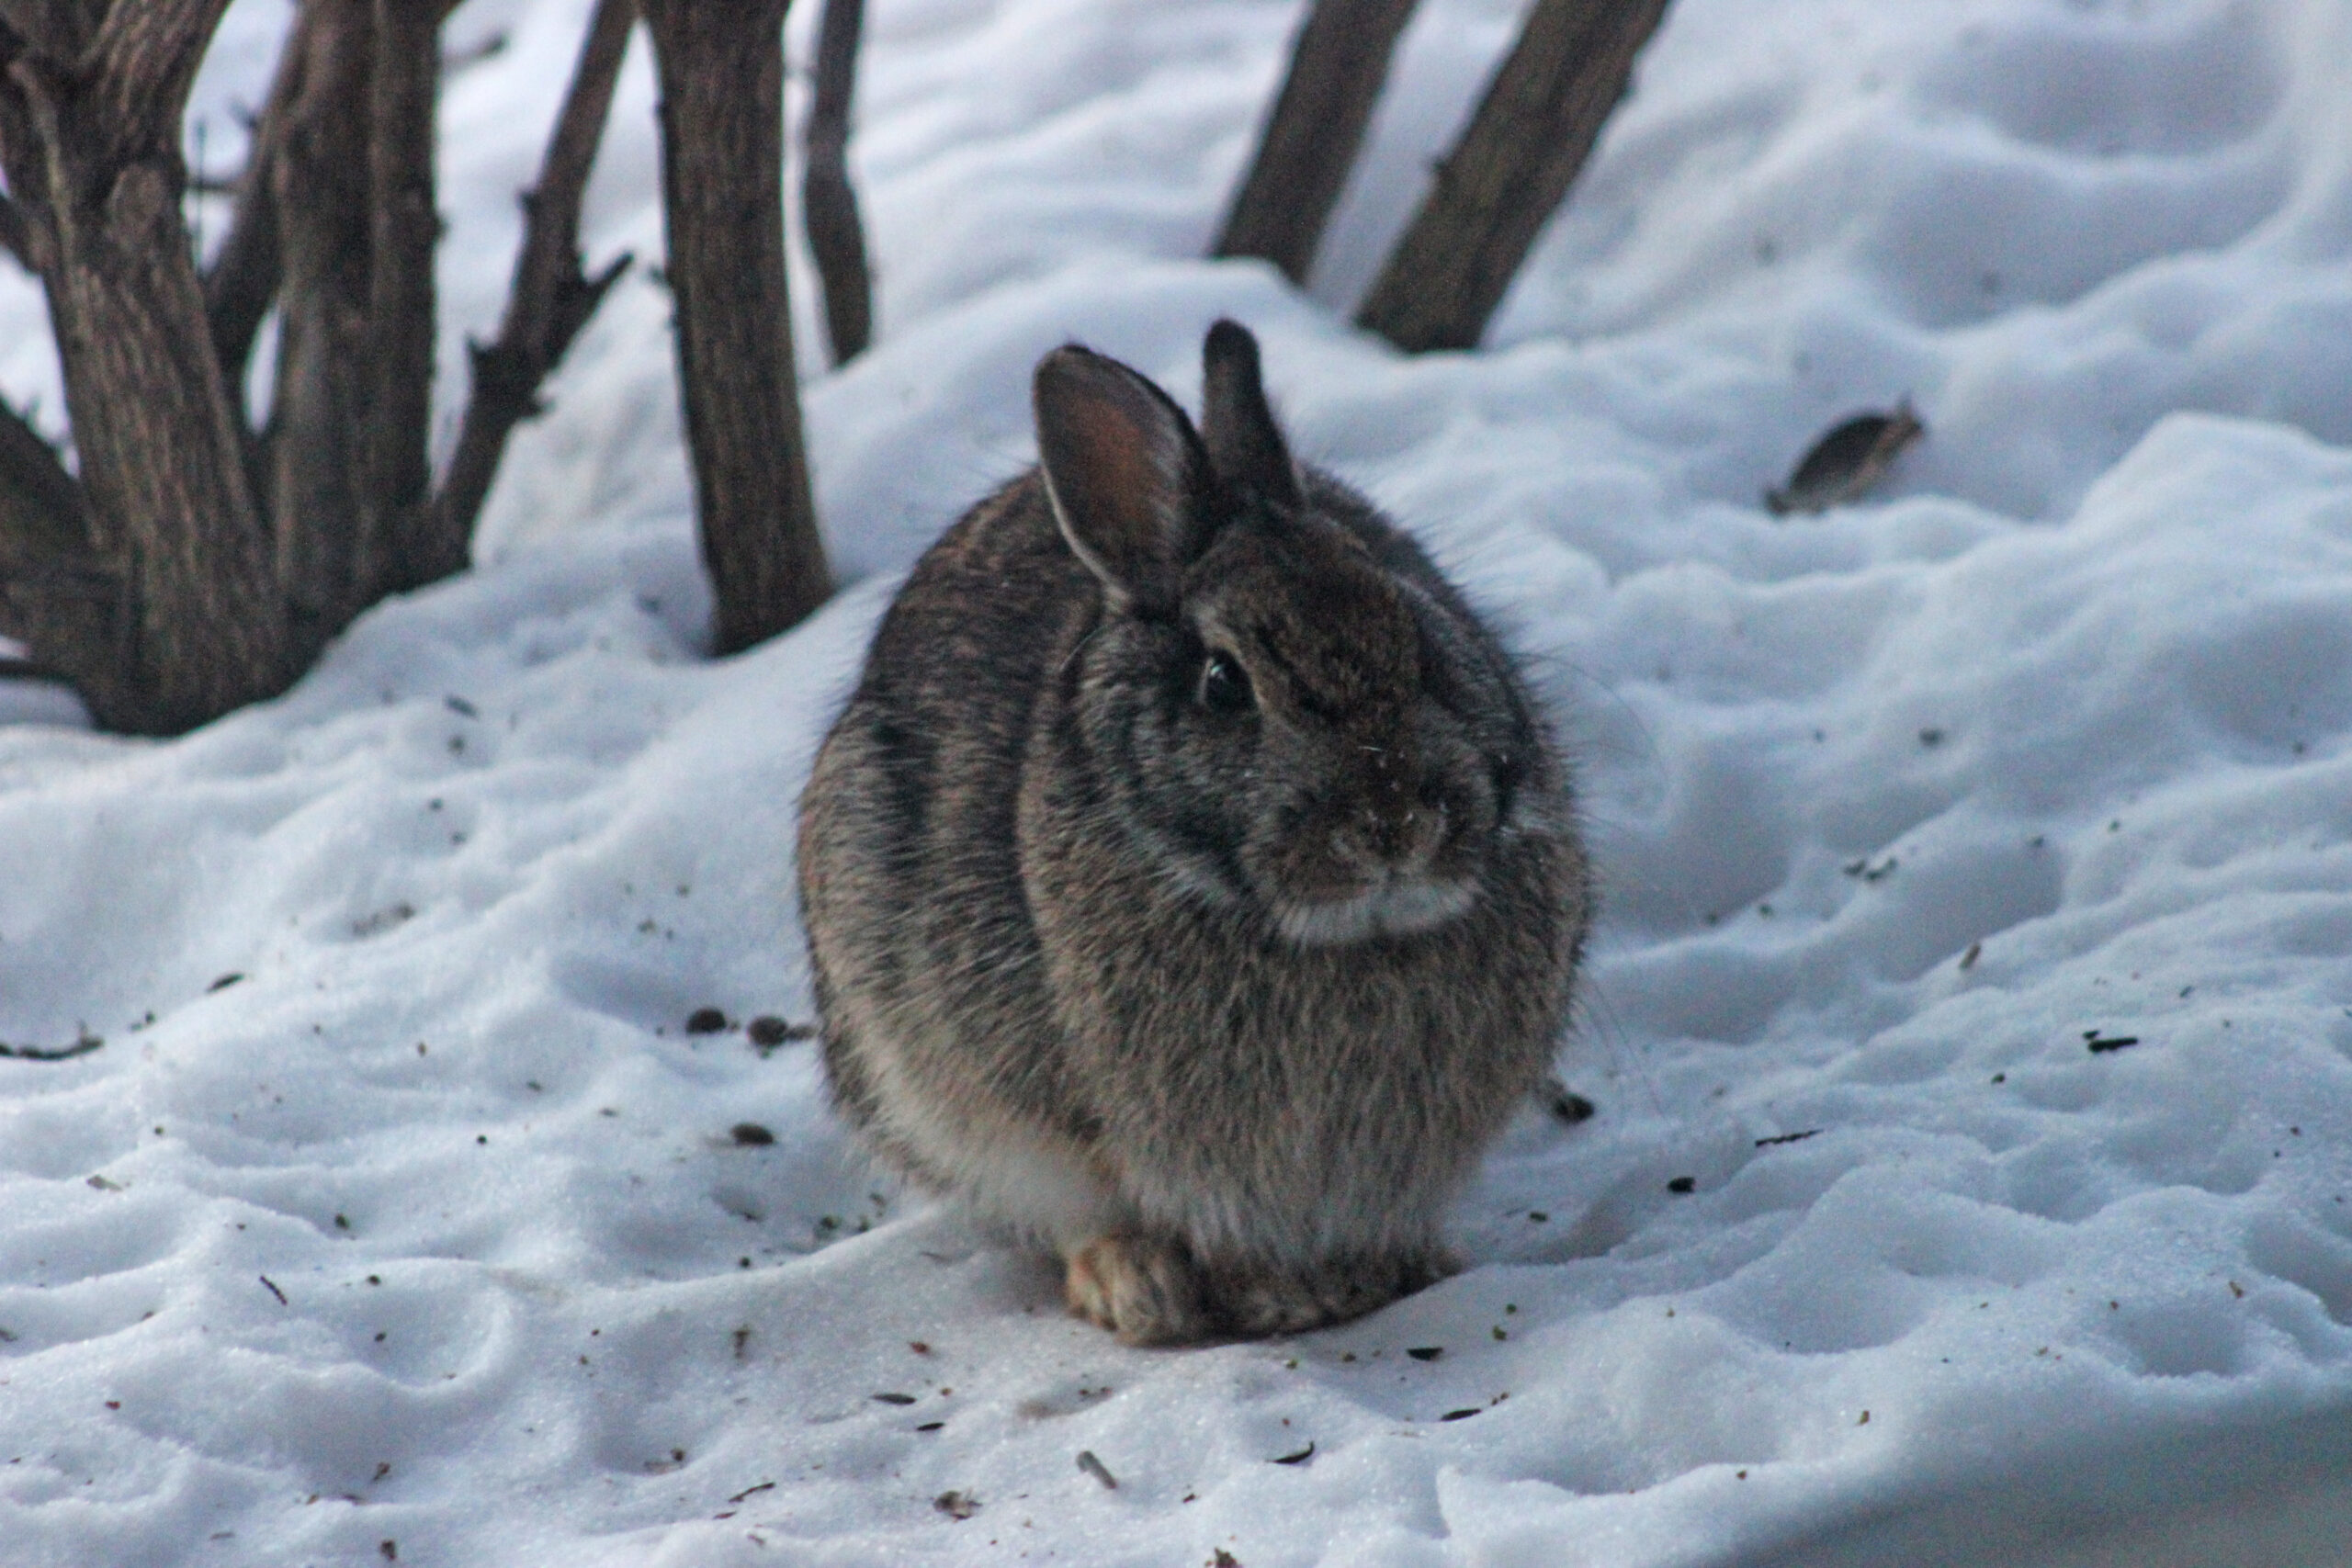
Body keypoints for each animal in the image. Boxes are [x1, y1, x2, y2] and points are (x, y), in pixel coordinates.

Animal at [799, 321, 1589, 1354]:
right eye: (1222, 684)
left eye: (1418, 630)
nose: (1395, 824)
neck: (1339, 940)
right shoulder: (1023, 1110)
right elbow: (1093, 1196)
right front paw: (1172, 1286)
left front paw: (1357, 1275)